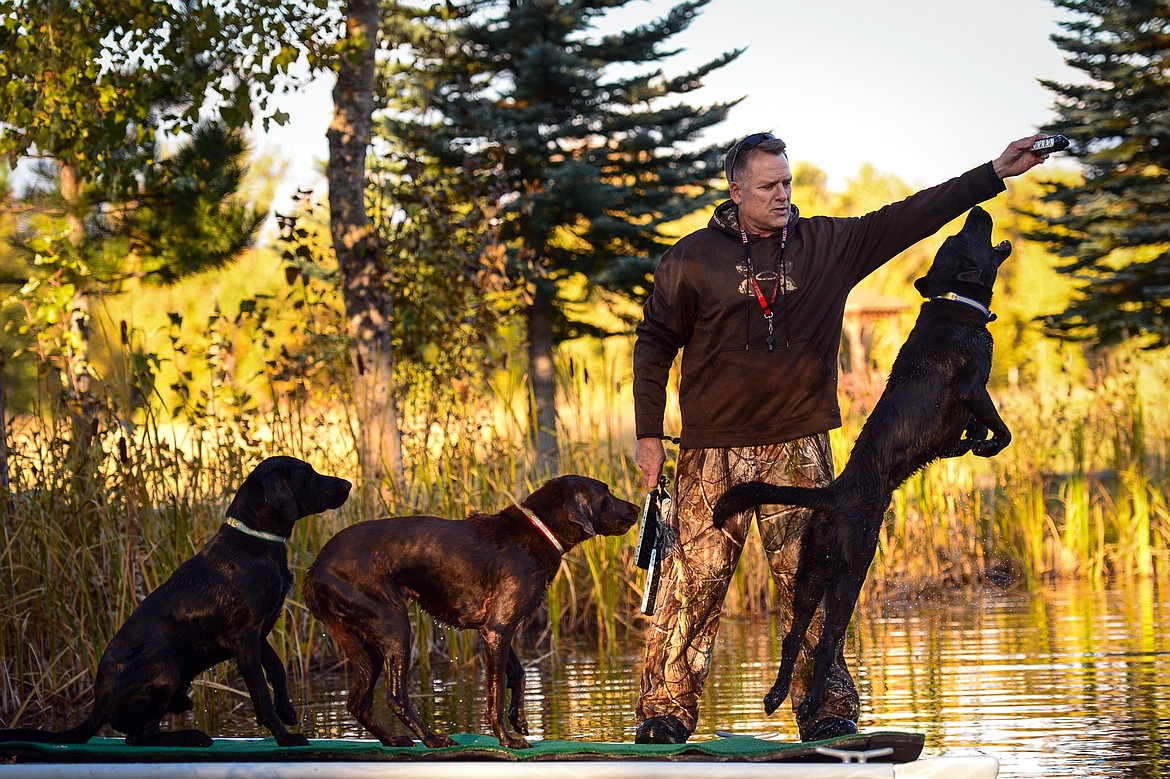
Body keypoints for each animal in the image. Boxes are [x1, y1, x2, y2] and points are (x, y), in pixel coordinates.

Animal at [0, 456, 348, 748]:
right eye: (308, 473)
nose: (347, 484)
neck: (256, 542)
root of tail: (98, 704)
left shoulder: (259, 632)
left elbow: (276, 668)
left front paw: (286, 710)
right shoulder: (245, 636)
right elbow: (260, 691)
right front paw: (285, 736)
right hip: (162, 662)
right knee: (137, 737)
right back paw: (192, 736)